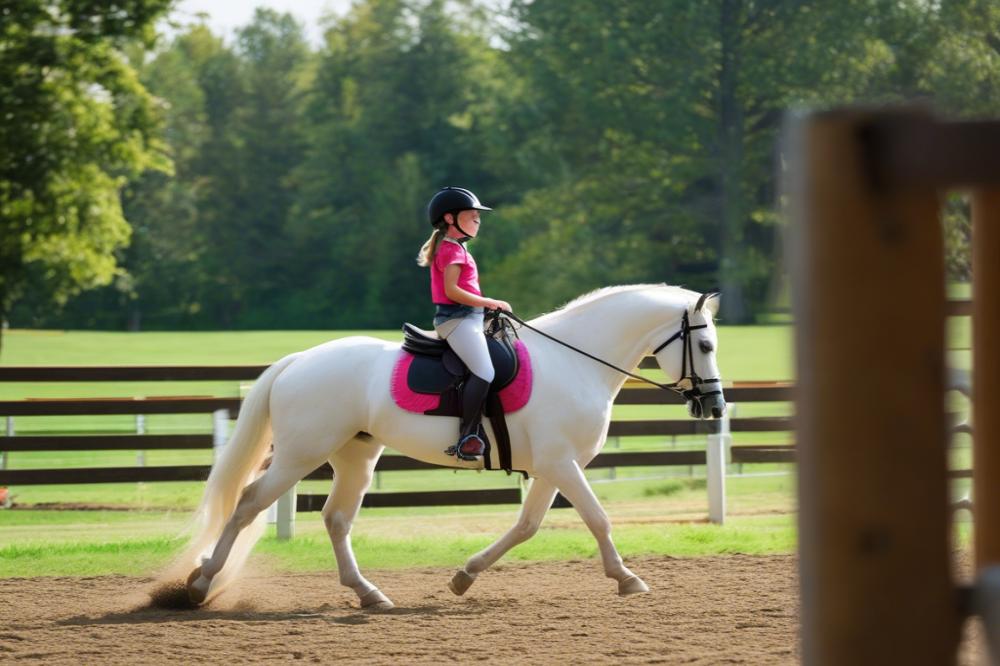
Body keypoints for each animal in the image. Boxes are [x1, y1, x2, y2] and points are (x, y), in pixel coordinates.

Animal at [178, 282, 728, 604]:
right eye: (704, 345)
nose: (716, 407)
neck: (576, 361)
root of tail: (299, 360)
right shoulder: (562, 463)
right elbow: (598, 519)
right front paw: (627, 578)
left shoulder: (553, 468)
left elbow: (526, 526)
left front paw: (466, 575)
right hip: (300, 454)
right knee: (249, 503)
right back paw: (200, 582)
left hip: (355, 455)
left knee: (336, 519)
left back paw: (368, 593)